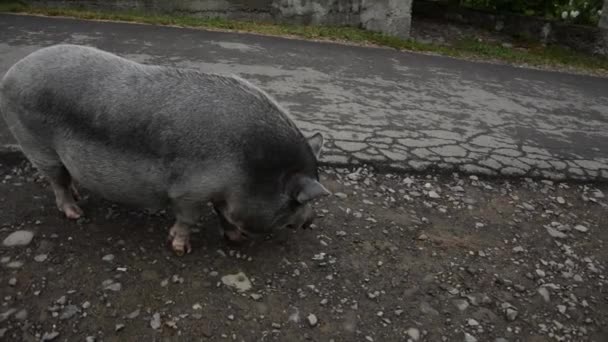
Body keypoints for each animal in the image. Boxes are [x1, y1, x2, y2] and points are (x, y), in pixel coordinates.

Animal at [0, 44, 330, 255]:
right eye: (297, 202)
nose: (310, 222)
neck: (252, 169)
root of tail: (13, 71)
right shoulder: (188, 191)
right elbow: (189, 219)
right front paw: (181, 249)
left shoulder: (220, 193)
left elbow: (223, 215)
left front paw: (236, 240)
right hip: (37, 146)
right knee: (57, 181)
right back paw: (75, 213)